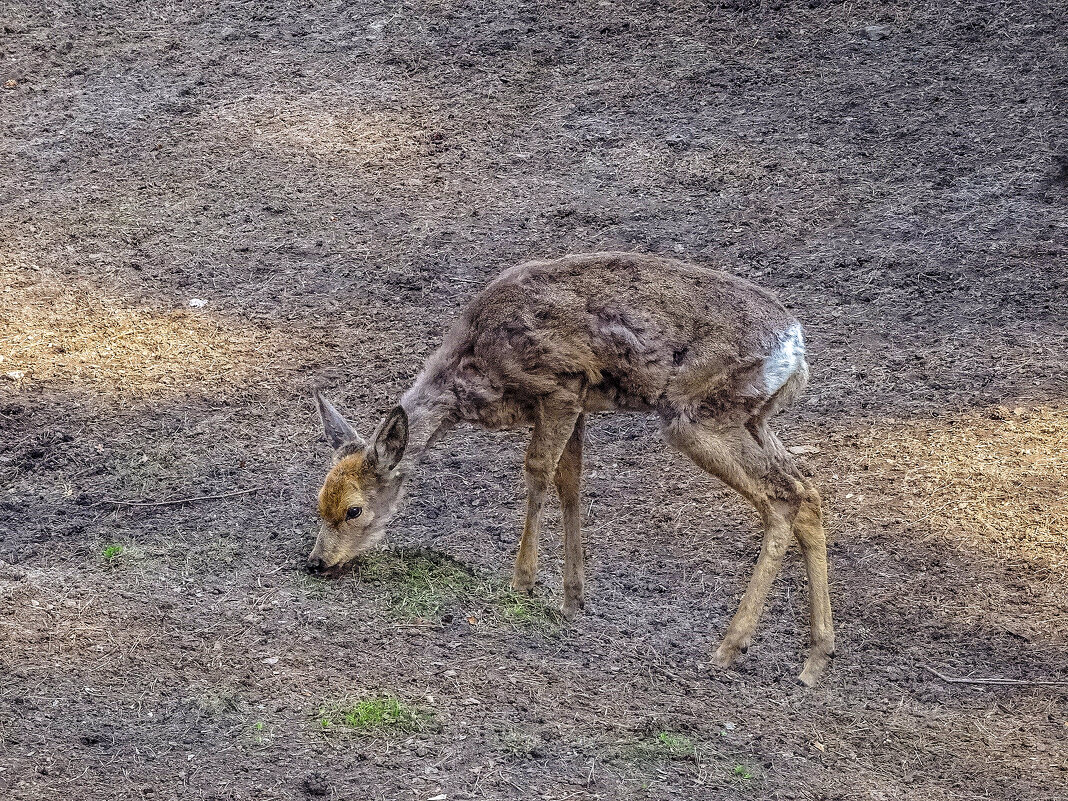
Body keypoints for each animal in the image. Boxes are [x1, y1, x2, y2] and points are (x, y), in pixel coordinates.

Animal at [309, 254, 833, 687]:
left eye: (354, 510)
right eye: (319, 503)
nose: (316, 562)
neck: (477, 373)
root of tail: (796, 347)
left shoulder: (560, 385)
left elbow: (538, 471)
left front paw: (523, 581)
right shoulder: (579, 402)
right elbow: (571, 482)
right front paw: (572, 597)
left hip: (697, 412)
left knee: (781, 496)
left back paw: (729, 647)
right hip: (753, 417)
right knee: (806, 489)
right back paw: (814, 660)